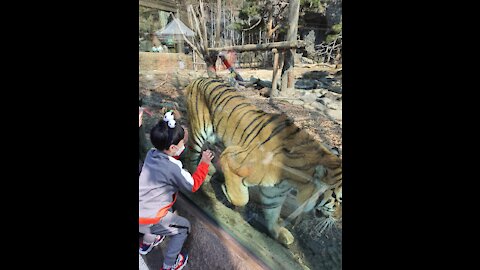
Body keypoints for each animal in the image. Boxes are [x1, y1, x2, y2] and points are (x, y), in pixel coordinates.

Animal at [184, 77, 342, 246]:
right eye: (340, 201)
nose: (338, 220)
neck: (295, 180)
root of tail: (200, 78)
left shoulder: (274, 193)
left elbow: (273, 214)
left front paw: (279, 233)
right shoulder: (232, 156)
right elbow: (242, 199)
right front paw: (227, 192)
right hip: (199, 131)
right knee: (191, 155)